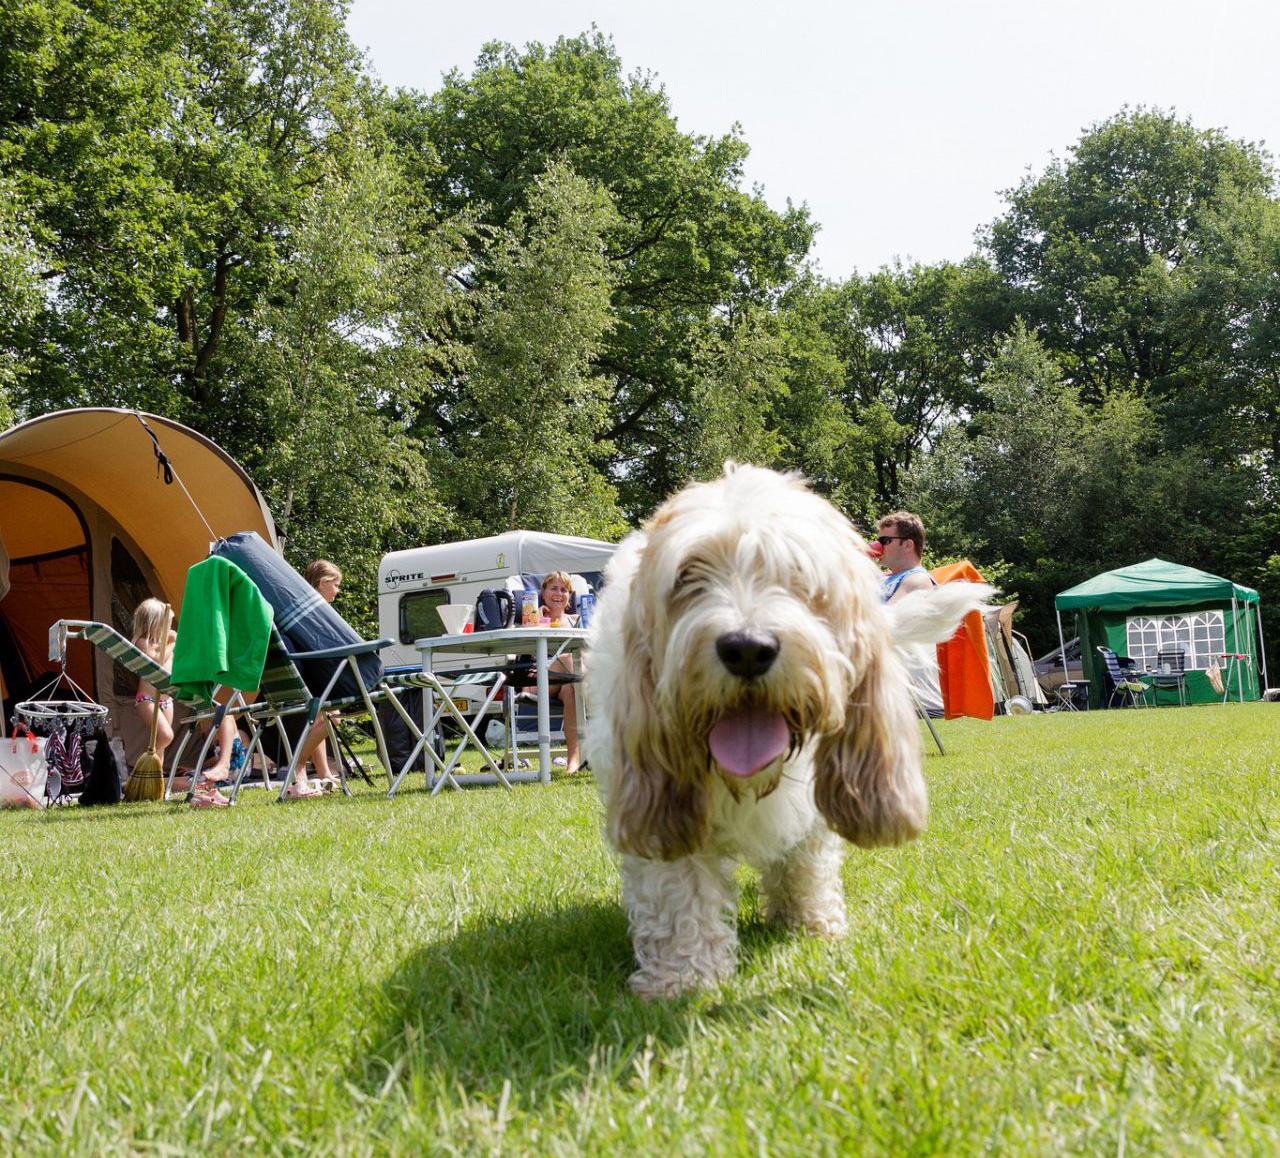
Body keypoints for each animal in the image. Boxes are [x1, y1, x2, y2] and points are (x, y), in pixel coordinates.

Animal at [586, 460, 983, 992]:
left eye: (799, 575)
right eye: (689, 575)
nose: (746, 648)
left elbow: (807, 861)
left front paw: (810, 924)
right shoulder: (662, 800)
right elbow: (679, 893)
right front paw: (685, 976)